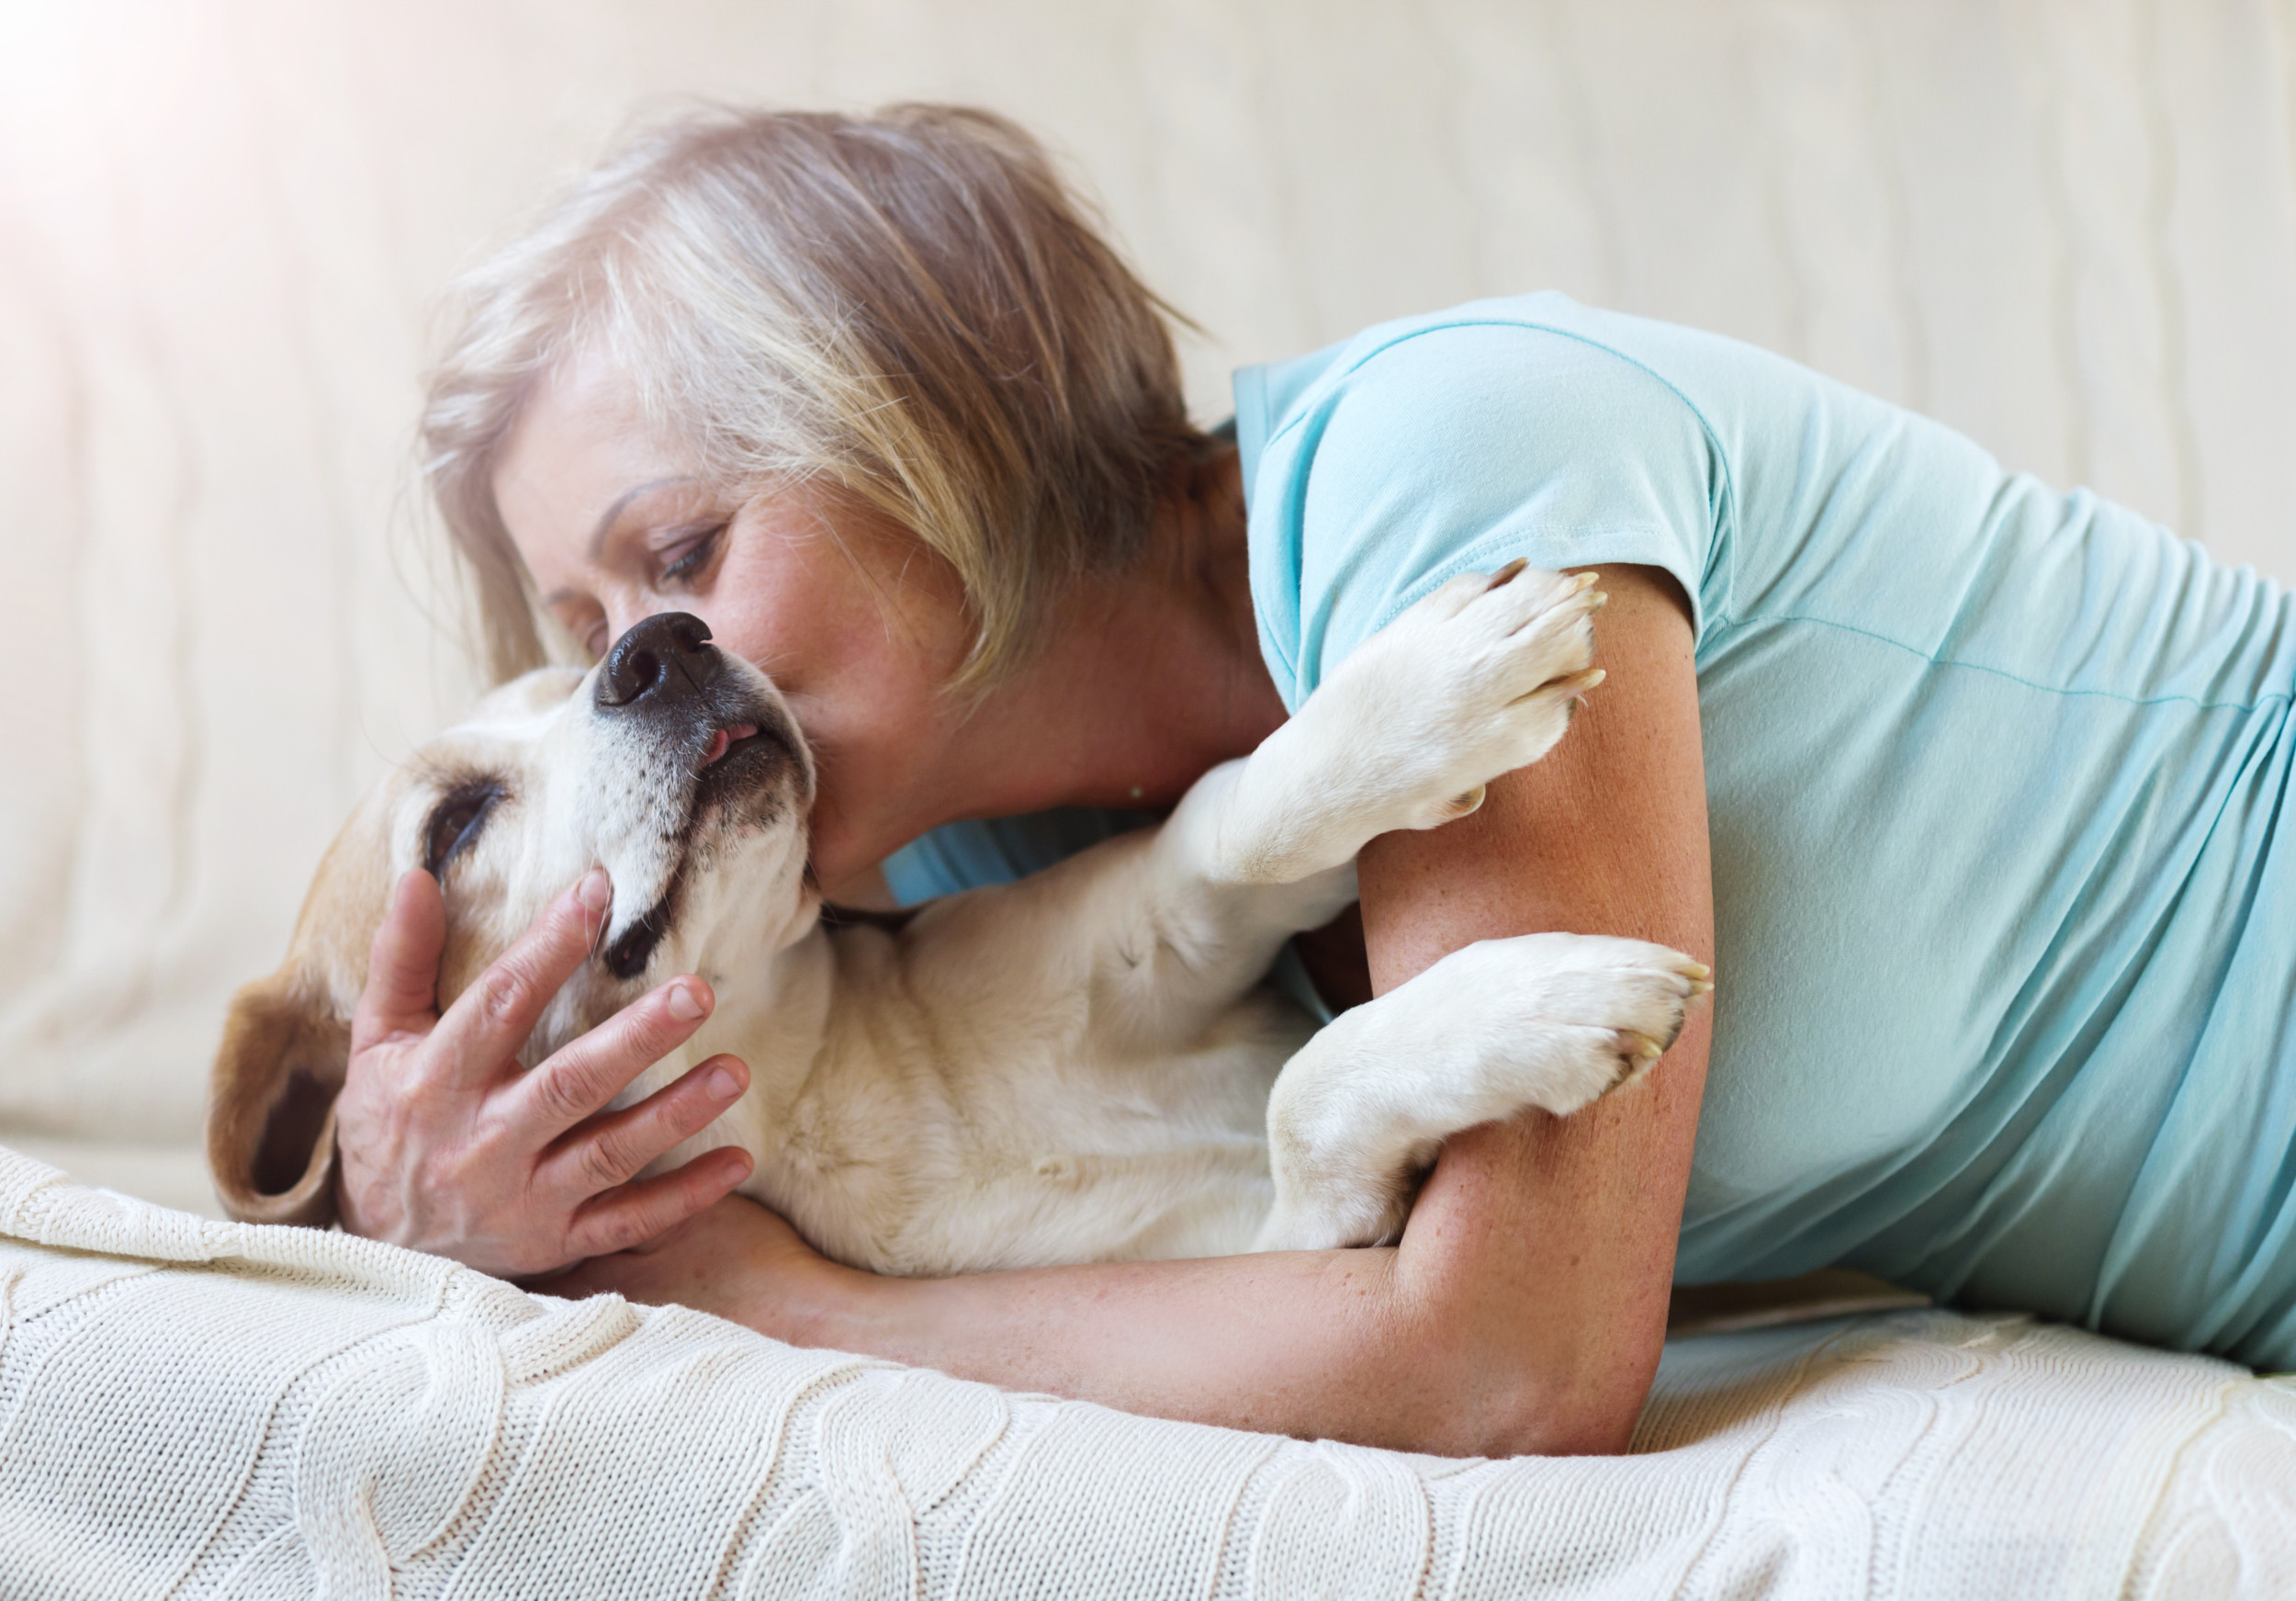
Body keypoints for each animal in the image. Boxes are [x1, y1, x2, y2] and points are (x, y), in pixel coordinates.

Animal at [211, 562, 1708, 1277]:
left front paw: (1426, 697)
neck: (816, 1073)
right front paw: (1546, 1008)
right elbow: (1303, 1100)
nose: (661, 645)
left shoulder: (1165, 916)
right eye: (456, 825)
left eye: (583, 659)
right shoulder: (1279, 1249)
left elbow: (1243, 815)